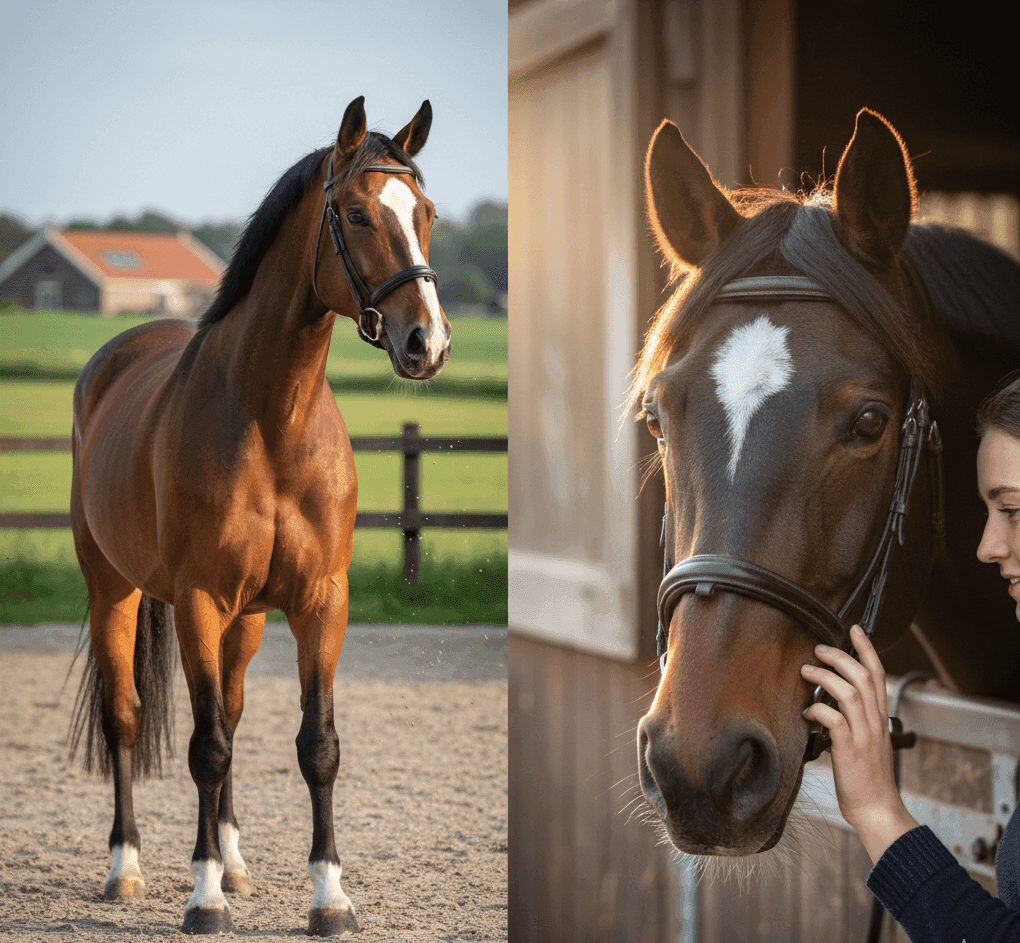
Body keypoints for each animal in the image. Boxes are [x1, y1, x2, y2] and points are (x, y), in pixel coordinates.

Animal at [68, 95, 450, 935]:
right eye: (356, 213)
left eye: (427, 213)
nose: (427, 342)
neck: (272, 421)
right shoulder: (200, 601)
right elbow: (204, 746)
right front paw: (203, 895)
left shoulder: (320, 601)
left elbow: (316, 744)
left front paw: (329, 896)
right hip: (114, 588)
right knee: (126, 716)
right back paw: (126, 868)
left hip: (245, 618)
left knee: (235, 714)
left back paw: (236, 860)